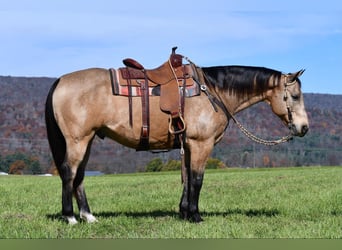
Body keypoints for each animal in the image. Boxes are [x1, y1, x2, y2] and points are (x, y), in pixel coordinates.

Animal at [45, 47, 310, 224]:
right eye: (295, 96)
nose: (304, 128)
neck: (212, 91)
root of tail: (60, 81)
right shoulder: (201, 144)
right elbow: (197, 179)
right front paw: (196, 216)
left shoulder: (189, 145)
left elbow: (187, 178)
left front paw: (183, 212)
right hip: (77, 140)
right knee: (69, 172)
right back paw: (70, 217)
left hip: (87, 140)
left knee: (79, 176)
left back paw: (88, 216)